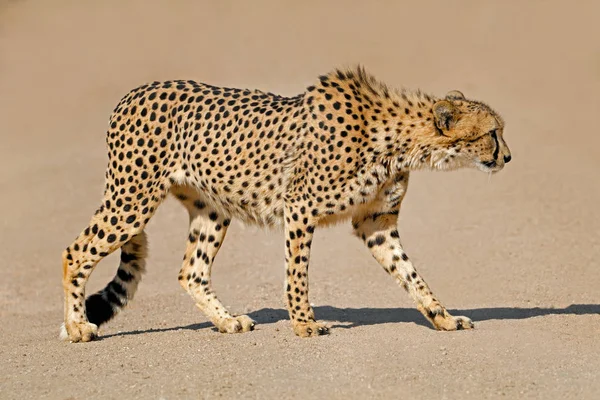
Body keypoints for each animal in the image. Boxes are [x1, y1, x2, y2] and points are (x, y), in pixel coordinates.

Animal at [59, 65, 510, 340]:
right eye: (492, 133)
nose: (508, 157)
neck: (401, 140)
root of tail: (136, 91)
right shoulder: (300, 207)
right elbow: (298, 272)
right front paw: (305, 324)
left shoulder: (376, 223)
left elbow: (412, 275)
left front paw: (443, 317)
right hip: (132, 200)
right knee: (75, 251)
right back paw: (78, 327)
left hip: (211, 209)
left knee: (191, 271)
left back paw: (227, 321)